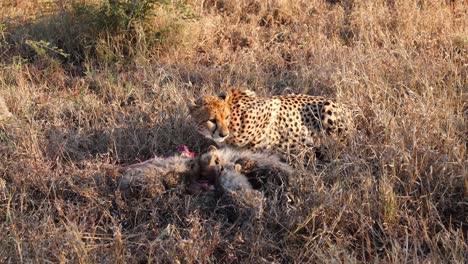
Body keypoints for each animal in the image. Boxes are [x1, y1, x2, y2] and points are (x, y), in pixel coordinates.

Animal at [188, 87, 352, 156]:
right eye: (212, 120)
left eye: (226, 117)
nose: (223, 134)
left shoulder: (270, 106)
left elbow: (254, 142)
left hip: (327, 109)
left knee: (342, 144)